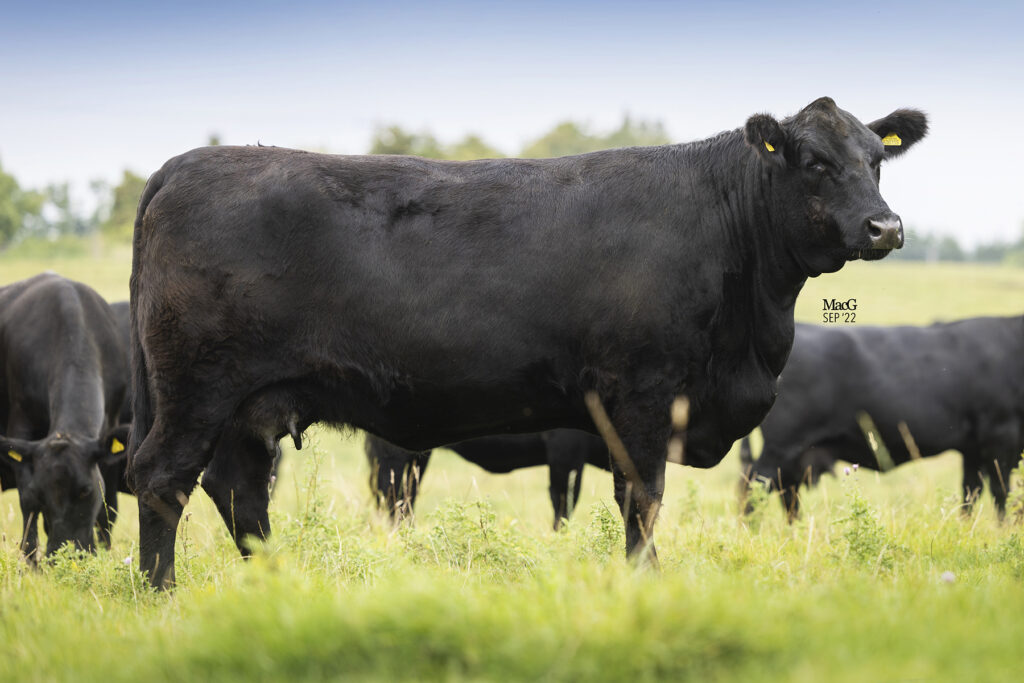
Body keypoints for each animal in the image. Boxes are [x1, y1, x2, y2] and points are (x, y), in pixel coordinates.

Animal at [0, 273, 131, 559]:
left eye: (85, 490)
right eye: (42, 494)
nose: (68, 553)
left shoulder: (110, 427)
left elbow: (107, 509)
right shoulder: (21, 428)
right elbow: (28, 509)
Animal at [739, 318, 1024, 520]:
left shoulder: (973, 447)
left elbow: (970, 492)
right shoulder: (1001, 436)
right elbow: (1002, 492)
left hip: (794, 454)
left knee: (784, 490)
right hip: (783, 445)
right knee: (754, 485)